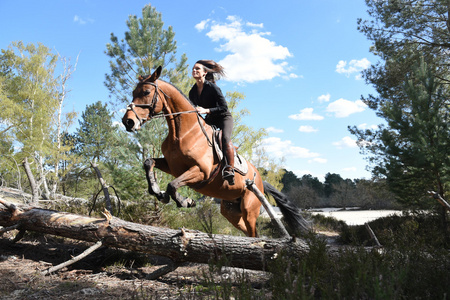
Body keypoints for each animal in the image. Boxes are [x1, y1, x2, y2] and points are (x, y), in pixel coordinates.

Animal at [121, 65, 310, 237]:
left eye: (146, 92)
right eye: (133, 92)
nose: (127, 122)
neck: (183, 132)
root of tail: (261, 181)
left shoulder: (200, 171)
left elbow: (172, 185)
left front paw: (185, 201)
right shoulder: (172, 166)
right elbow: (149, 162)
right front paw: (157, 191)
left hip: (250, 209)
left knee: (254, 232)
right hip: (231, 211)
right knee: (249, 233)